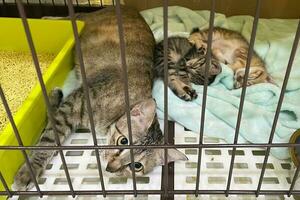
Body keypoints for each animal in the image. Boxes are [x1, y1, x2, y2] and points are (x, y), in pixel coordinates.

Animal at [14, 6, 189, 191]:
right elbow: (48, 141)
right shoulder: (72, 105)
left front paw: (53, 98)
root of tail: (127, 7)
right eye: (123, 141)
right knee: (71, 16)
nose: (110, 168)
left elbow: (50, 122)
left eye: (136, 166)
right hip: (83, 20)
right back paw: (47, 17)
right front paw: (30, 171)